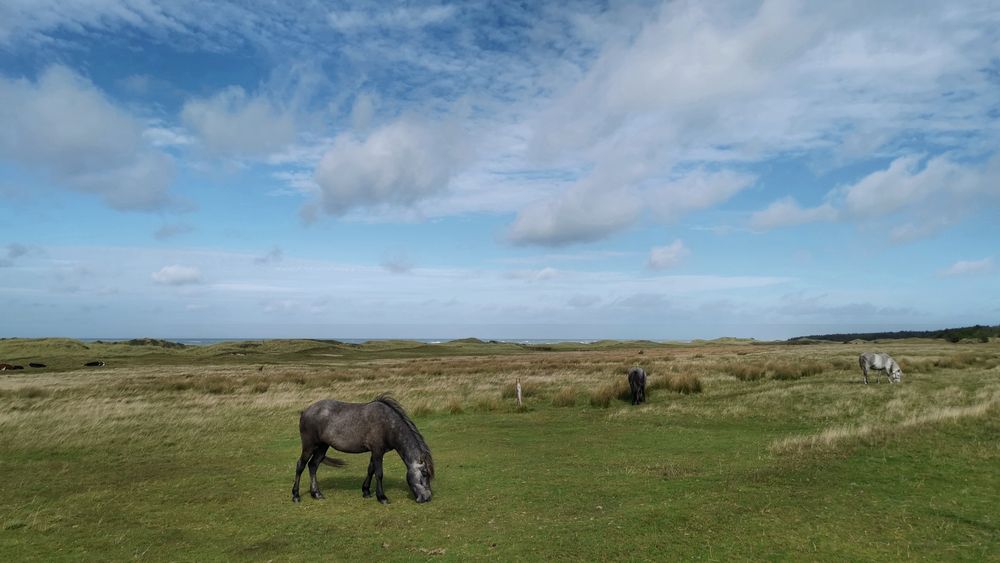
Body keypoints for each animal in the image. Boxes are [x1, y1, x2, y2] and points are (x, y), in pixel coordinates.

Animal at [292, 396, 432, 506]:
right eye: (424, 473)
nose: (427, 498)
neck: (388, 424)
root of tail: (305, 411)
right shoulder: (377, 451)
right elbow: (379, 473)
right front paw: (382, 498)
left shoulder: (375, 452)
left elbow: (370, 470)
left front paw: (366, 491)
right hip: (309, 446)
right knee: (301, 465)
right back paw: (296, 496)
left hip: (322, 446)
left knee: (313, 465)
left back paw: (316, 494)